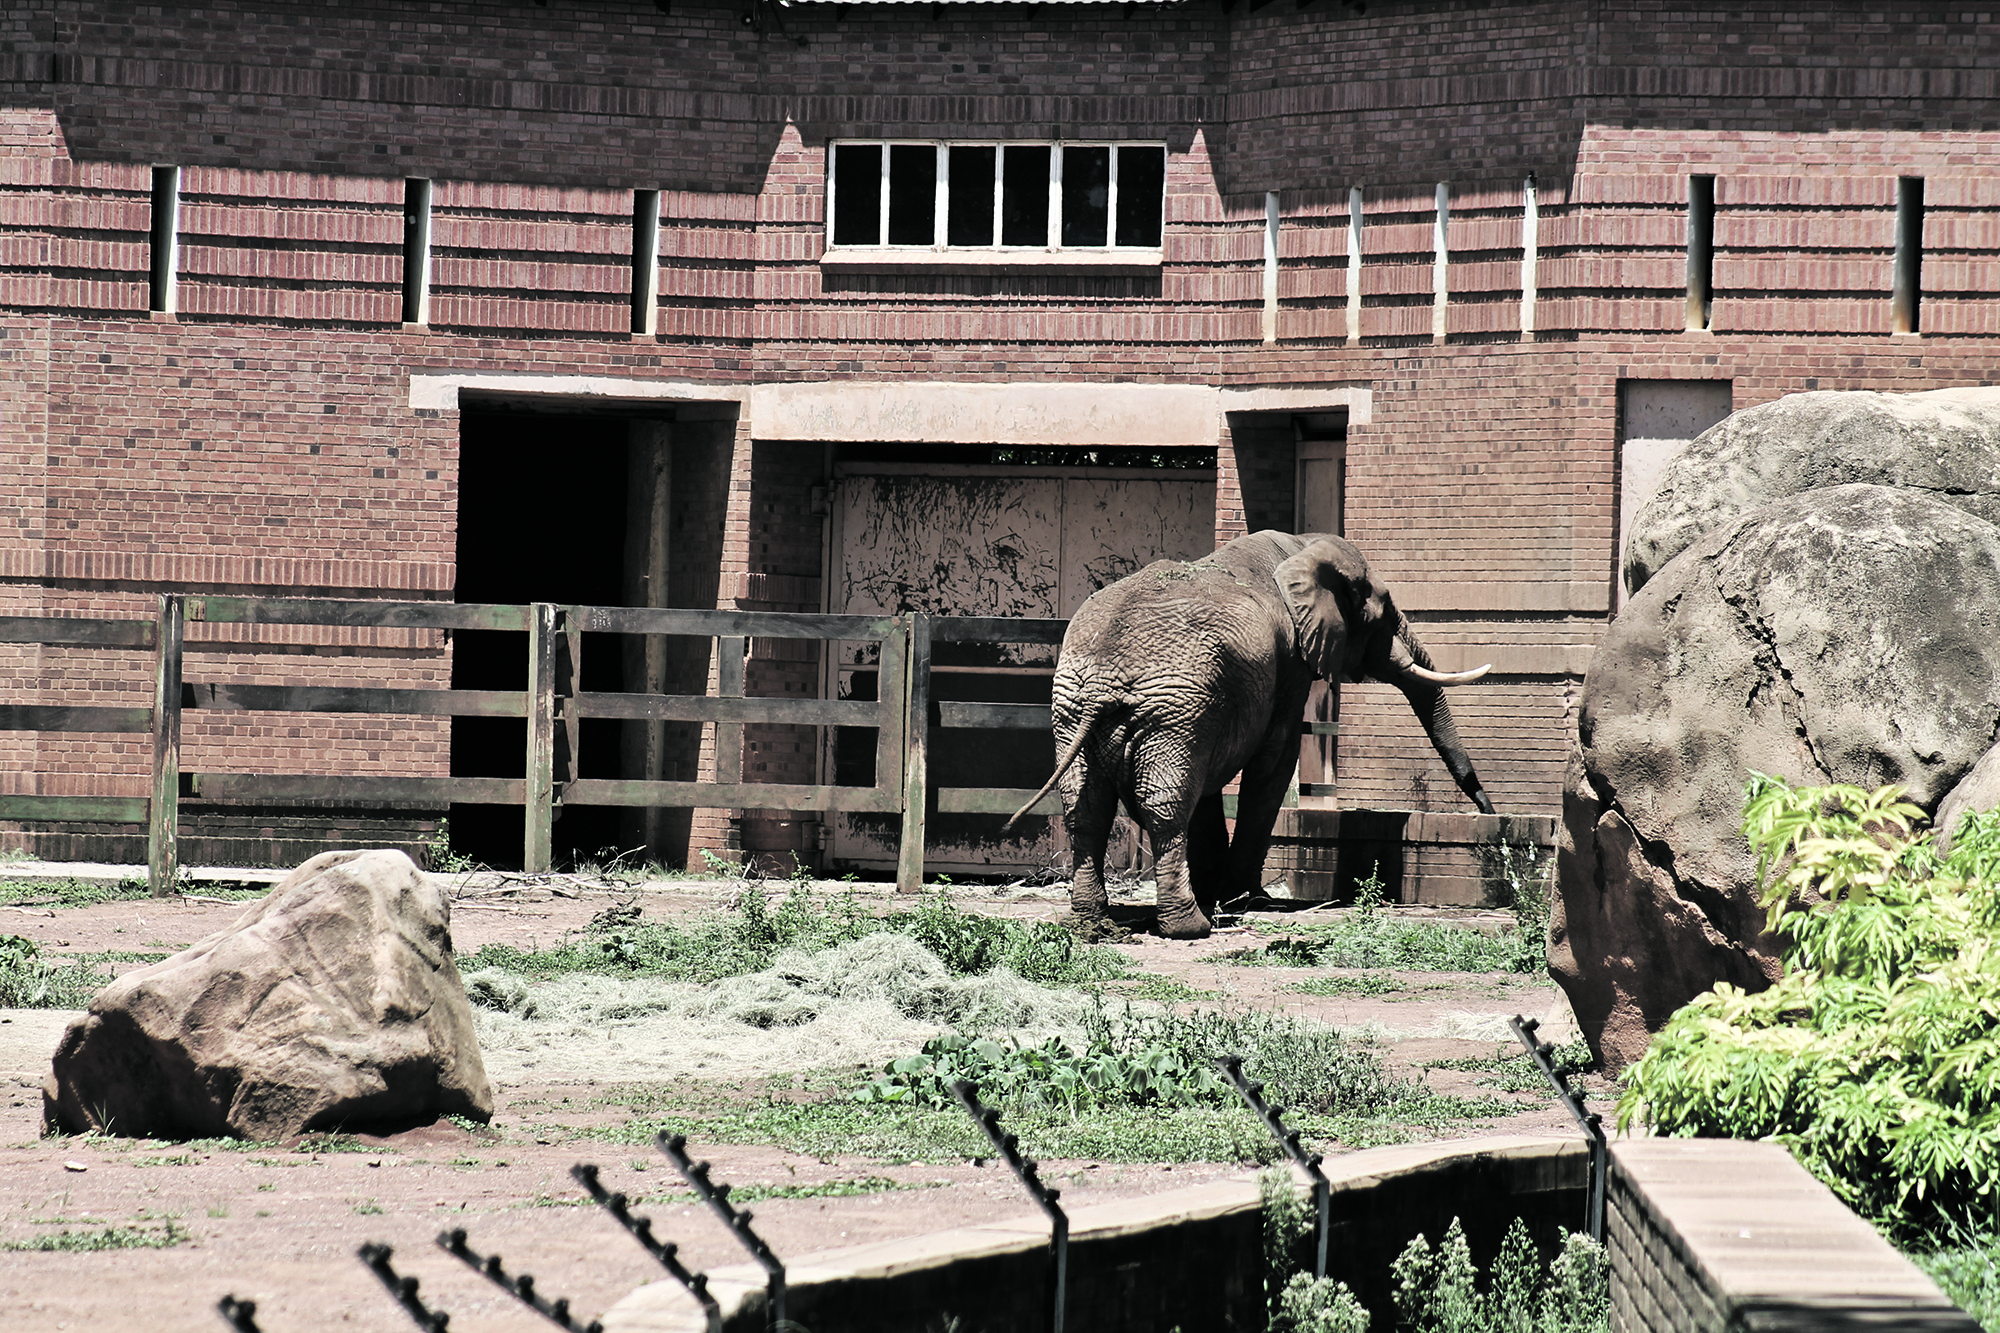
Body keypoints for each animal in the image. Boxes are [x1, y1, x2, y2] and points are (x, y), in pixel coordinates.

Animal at [1008, 530, 1495, 939]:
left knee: (1087, 810)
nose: (1488, 812)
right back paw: (1190, 927)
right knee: (1165, 806)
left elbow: (1210, 783)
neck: (1301, 547)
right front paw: (1244, 897)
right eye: (1383, 612)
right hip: (1167, 714)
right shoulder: (1288, 667)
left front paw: (1221, 890)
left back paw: (1091, 925)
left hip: (1085, 711)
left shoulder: (1215, 705)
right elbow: (1276, 759)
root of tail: (1102, 681)